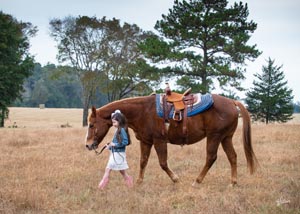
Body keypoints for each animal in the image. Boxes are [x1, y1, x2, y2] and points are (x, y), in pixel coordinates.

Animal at [85, 93, 258, 186]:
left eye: (92, 124)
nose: (88, 145)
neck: (143, 111)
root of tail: (232, 102)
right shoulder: (146, 141)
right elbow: (143, 161)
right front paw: (139, 182)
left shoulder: (159, 141)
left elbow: (162, 163)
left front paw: (176, 179)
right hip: (225, 138)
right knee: (232, 157)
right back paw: (233, 182)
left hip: (214, 136)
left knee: (211, 157)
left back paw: (197, 181)